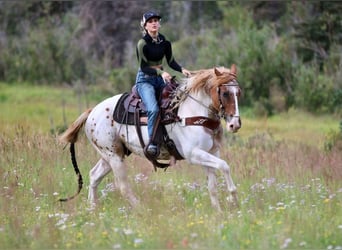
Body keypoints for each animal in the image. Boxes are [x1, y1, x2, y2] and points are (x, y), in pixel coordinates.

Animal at [58, 64, 240, 211]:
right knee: (123, 186)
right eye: (225, 93)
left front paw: (219, 211)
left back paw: (93, 208)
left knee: (94, 176)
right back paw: (142, 209)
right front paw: (233, 198)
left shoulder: (211, 153)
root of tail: (92, 112)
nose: (235, 125)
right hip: (114, 156)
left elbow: (213, 185)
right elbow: (224, 166)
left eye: (238, 92)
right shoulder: (193, 154)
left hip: (111, 155)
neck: (192, 112)